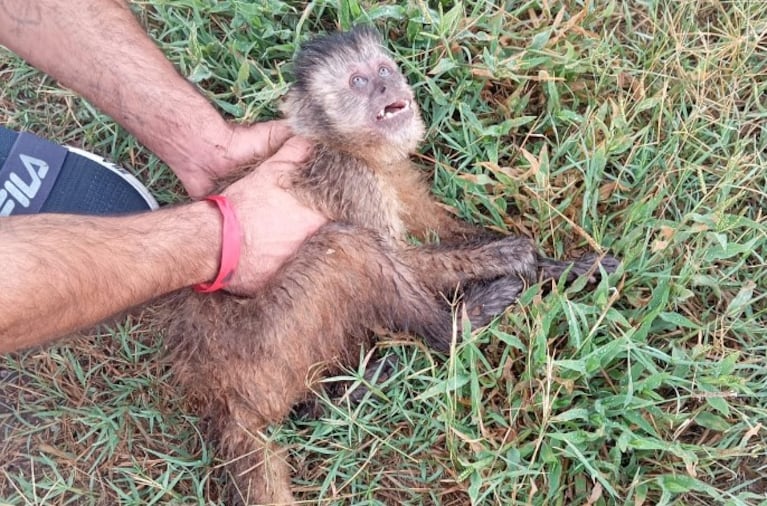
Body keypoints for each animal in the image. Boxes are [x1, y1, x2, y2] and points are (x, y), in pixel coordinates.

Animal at [165, 25, 620, 504]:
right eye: (358, 81)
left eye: (382, 70)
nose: (387, 87)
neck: (355, 149)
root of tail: (214, 386)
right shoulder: (349, 175)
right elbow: (400, 257)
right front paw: (513, 258)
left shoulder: (393, 170)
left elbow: (443, 231)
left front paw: (561, 268)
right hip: (262, 339)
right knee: (348, 245)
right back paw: (458, 326)